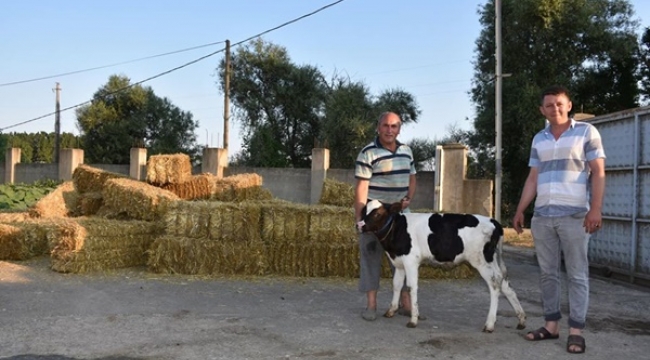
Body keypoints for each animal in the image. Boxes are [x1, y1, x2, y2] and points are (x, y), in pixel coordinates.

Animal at [360, 200, 528, 332]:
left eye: (377, 214)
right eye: (363, 211)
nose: (359, 225)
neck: (398, 228)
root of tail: (494, 222)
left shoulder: (411, 261)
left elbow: (412, 287)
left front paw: (413, 319)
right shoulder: (399, 262)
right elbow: (396, 285)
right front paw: (391, 310)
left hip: (481, 260)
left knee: (494, 285)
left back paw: (490, 324)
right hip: (493, 260)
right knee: (504, 282)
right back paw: (521, 319)